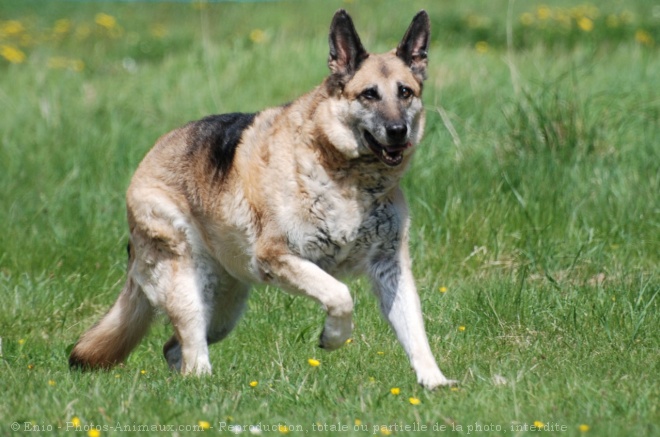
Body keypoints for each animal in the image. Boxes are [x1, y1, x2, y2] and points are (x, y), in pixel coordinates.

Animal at [69, 9, 456, 388]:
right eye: (369, 95)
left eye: (405, 92)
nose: (398, 132)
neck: (349, 177)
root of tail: (148, 157)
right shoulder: (279, 256)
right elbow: (340, 295)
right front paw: (333, 337)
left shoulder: (391, 268)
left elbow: (415, 331)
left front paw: (434, 382)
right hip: (188, 291)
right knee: (191, 353)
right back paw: (205, 386)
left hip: (223, 310)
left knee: (174, 349)